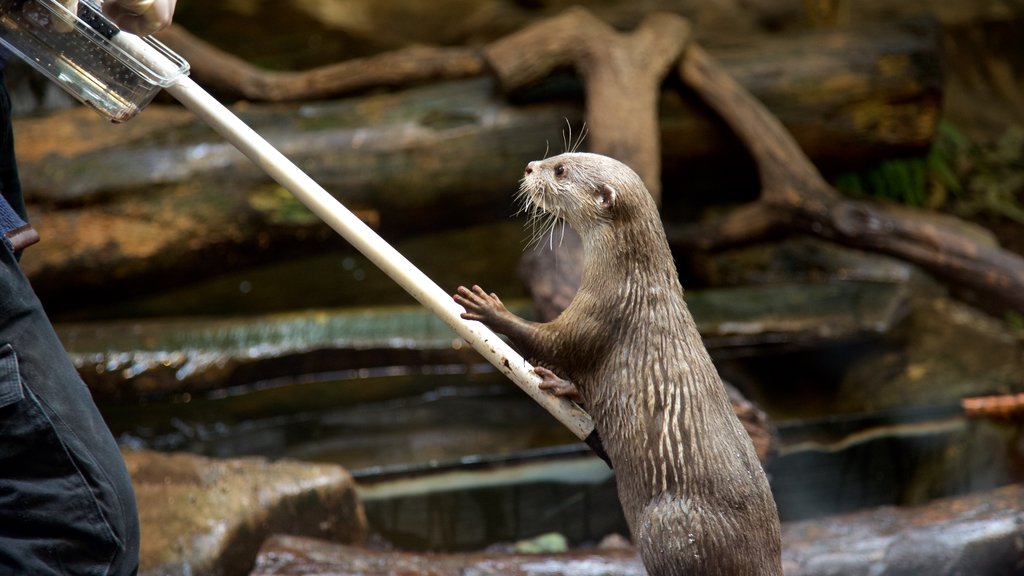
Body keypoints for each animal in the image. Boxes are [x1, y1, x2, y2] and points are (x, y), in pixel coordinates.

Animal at [456, 152, 782, 573]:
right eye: (559, 157)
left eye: (560, 170)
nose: (529, 166)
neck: (632, 282)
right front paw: (562, 386)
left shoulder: (600, 315)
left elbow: (552, 343)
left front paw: (489, 310)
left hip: (667, 527)